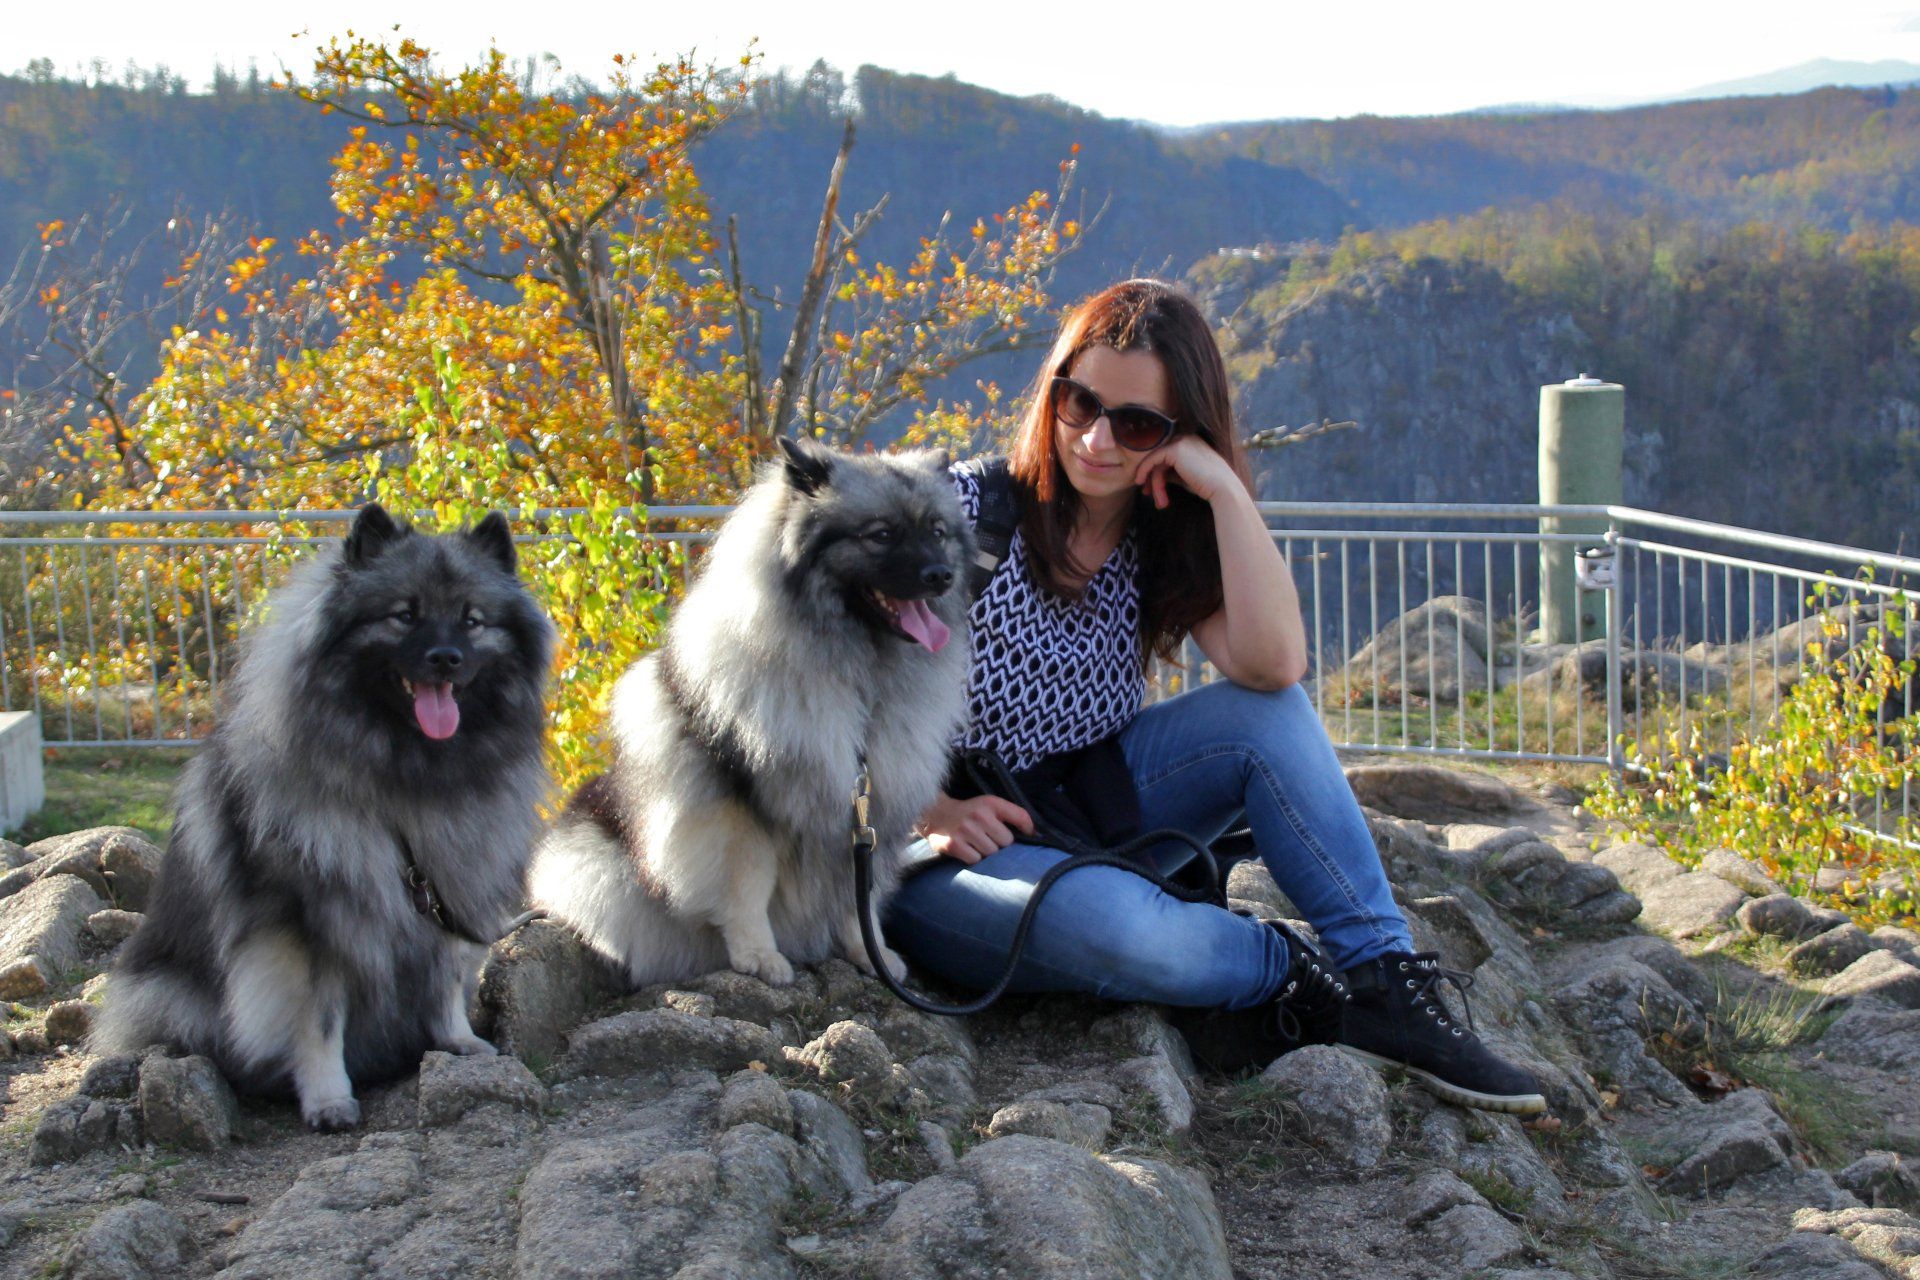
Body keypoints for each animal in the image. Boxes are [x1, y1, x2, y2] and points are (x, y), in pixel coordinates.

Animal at [92, 505, 555, 1130]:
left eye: (472, 620)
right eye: (404, 615)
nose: (445, 658)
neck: (407, 779)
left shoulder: (441, 892)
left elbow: (444, 980)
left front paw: (459, 1042)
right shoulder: (309, 925)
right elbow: (320, 1021)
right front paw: (329, 1099)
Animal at [529, 437, 972, 988]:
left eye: (937, 532)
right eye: (882, 535)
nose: (941, 576)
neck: (860, 680)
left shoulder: (867, 813)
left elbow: (858, 898)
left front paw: (870, 953)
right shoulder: (737, 806)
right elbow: (746, 884)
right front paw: (758, 954)